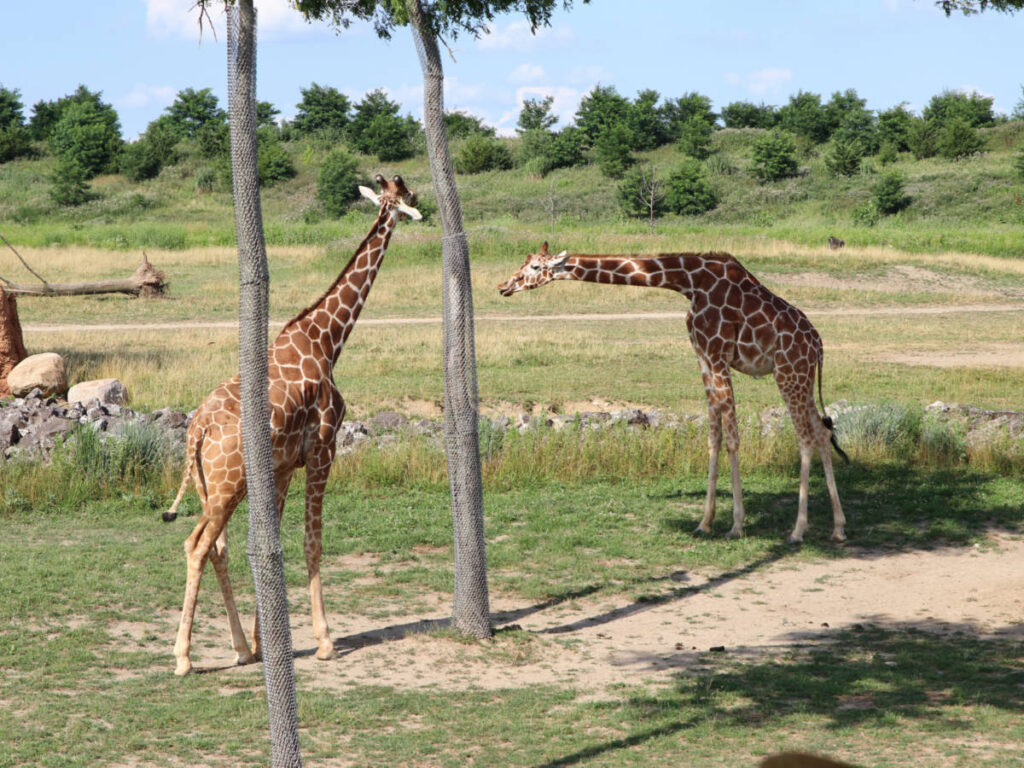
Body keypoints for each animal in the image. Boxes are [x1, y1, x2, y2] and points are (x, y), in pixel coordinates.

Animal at [164, 174, 421, 676]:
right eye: (408, 195)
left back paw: (241, 650)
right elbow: (311, 543)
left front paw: (264, 642)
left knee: (217, 548)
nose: (422, 206)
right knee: (196, 546)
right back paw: (183, 657)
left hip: (211, 485)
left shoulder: (282, 467)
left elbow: (271, 544)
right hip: (227, 486)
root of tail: (197, 429)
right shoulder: (323, 451)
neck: (327, 339)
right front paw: (324, 641)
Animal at [498, 242, 848, 544]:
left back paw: (798, 530)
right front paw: (705, 522)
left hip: (788, 373)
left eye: (534, 266)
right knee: (821, 431)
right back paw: (838, 527)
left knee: (805, 437)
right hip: (801, 378)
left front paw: (736, 524)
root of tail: (818, 345)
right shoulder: (704, 358)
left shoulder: (718, 355)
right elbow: (713, 437)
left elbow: (733, 439)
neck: (689, 283)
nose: (503, 286)